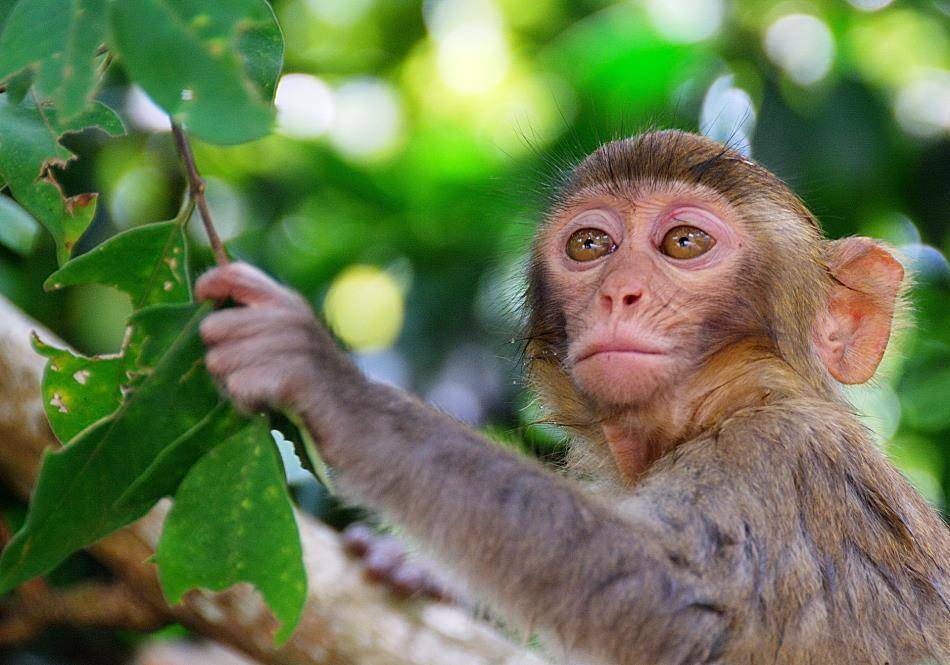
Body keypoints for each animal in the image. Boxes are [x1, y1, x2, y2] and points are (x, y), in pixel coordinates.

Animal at [197, 131, 948, 664]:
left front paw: (334, 387)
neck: (721, 409)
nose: (620, 293)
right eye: (590, 244)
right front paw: (412, 567)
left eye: (684, 241)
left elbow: (671, 601)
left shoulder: (779, 460)